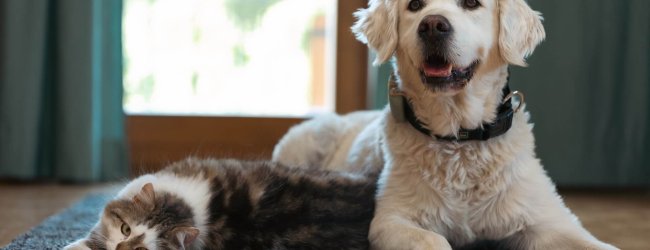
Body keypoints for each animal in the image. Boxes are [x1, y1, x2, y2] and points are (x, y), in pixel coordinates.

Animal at [270, 0, 616, 249]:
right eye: (415, 5)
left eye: (472, 2)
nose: (433, 25)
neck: (460, 137)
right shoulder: (393, 220)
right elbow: (433, 240)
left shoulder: (551, 220)